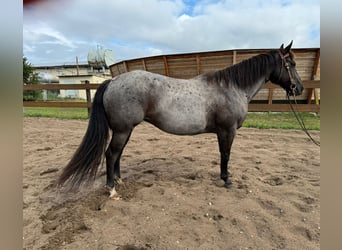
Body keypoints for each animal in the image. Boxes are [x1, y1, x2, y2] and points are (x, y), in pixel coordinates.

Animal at [57, 41, 304, 199]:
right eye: (291, 64)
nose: (299, 88)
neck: (232, 87)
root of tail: (113, 81)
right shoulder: (227, 130)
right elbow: (225, 155)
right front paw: (227, 180)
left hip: (125, 130)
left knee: (117, 154)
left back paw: (119, 181)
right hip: (122, 130)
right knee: (110, 154)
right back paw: (111, 189)